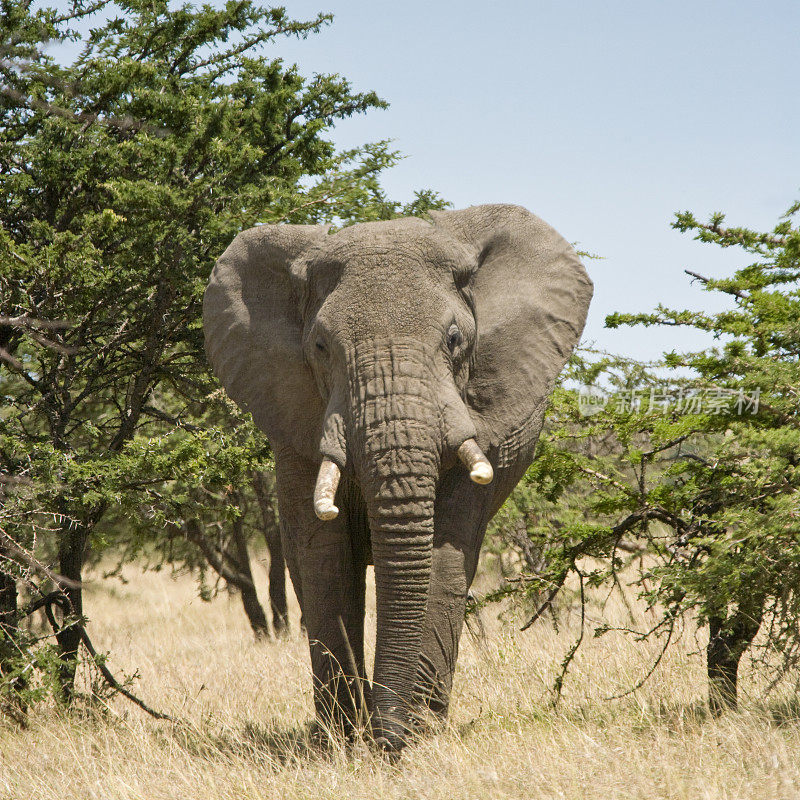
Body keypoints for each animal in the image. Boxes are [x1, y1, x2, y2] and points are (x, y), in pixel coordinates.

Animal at [205, 203, 592, 752]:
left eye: (454, 340)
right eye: (320, 346)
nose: (386, 743)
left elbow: (443, 554)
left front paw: (417, 733)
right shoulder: (296, 422)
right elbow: (326, 558)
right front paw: (341, 742)